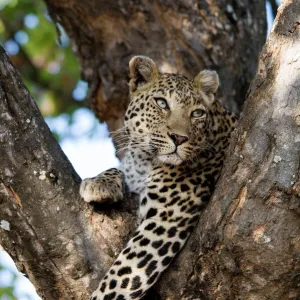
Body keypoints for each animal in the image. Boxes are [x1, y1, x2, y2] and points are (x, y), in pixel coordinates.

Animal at [80, 55, 237, 298]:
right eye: (162, 103)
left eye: (197, 113)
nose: (179, 138)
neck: (145, 159)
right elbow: (119, 169)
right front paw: (99, 184)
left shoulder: (167, 217)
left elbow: (121, 276)